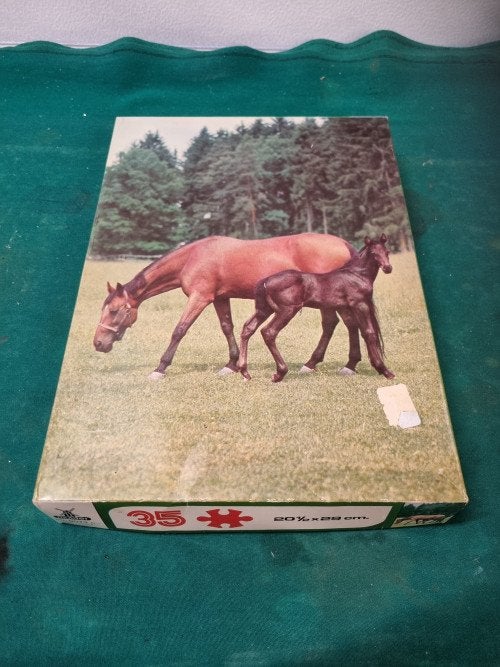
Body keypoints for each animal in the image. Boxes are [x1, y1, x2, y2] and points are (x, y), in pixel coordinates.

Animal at [93, 233, 358, 379]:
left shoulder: (200, 297)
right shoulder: (220, 298)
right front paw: (231, 365)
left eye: (114, 311)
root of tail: (344, 243)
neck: (193, 257)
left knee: (342, 324)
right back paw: (323, 364)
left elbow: (180, 330)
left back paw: (341, 365)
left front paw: (160, 368)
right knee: (337, 324)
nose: (98, 344)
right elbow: (227, 327)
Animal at [236, 234, 395, 382]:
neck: (357, 275)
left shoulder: (346, 307)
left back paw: (245, 372)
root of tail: (265, 281)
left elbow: (355, 328)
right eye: (373, 252)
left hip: (264, 310)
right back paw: (280, 373)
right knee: (269, 332)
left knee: (248, 328)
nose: (388, 268)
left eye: (387, 251)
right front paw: (384, 370)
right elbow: (369, 332)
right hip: (287, 310)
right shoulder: (360, 304)